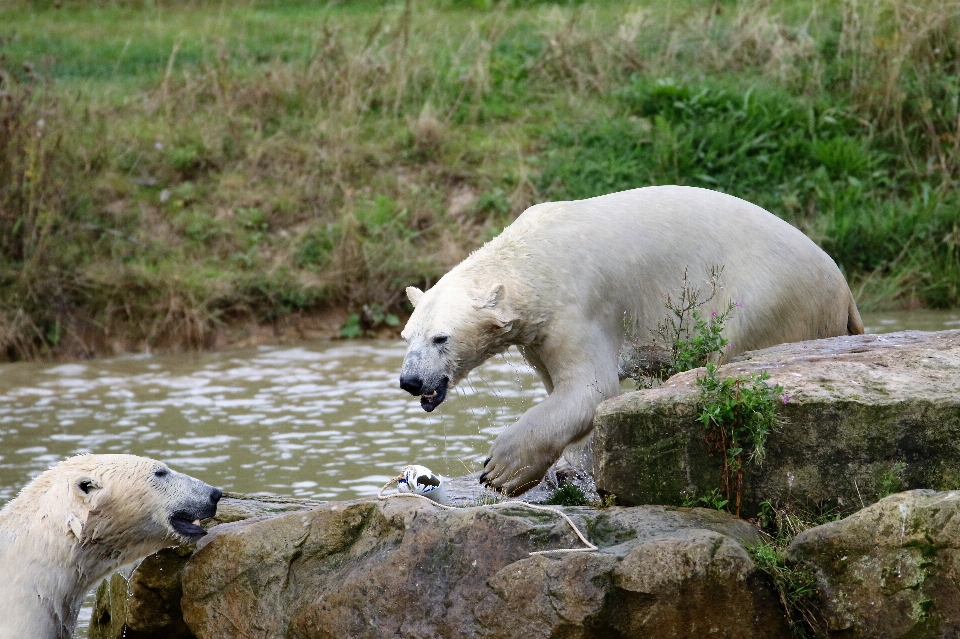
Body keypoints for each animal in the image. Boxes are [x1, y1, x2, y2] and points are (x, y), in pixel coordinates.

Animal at [398, 185, 864, 496]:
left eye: (441, 337)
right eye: (408, 336)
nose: (411, 381)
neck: (532, 260)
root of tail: (844, 287)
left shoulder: (577, 306)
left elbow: (590, 388)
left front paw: (501, 468)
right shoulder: (538, 330)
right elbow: (564, 390)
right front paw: (572, 469)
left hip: (769, 296)